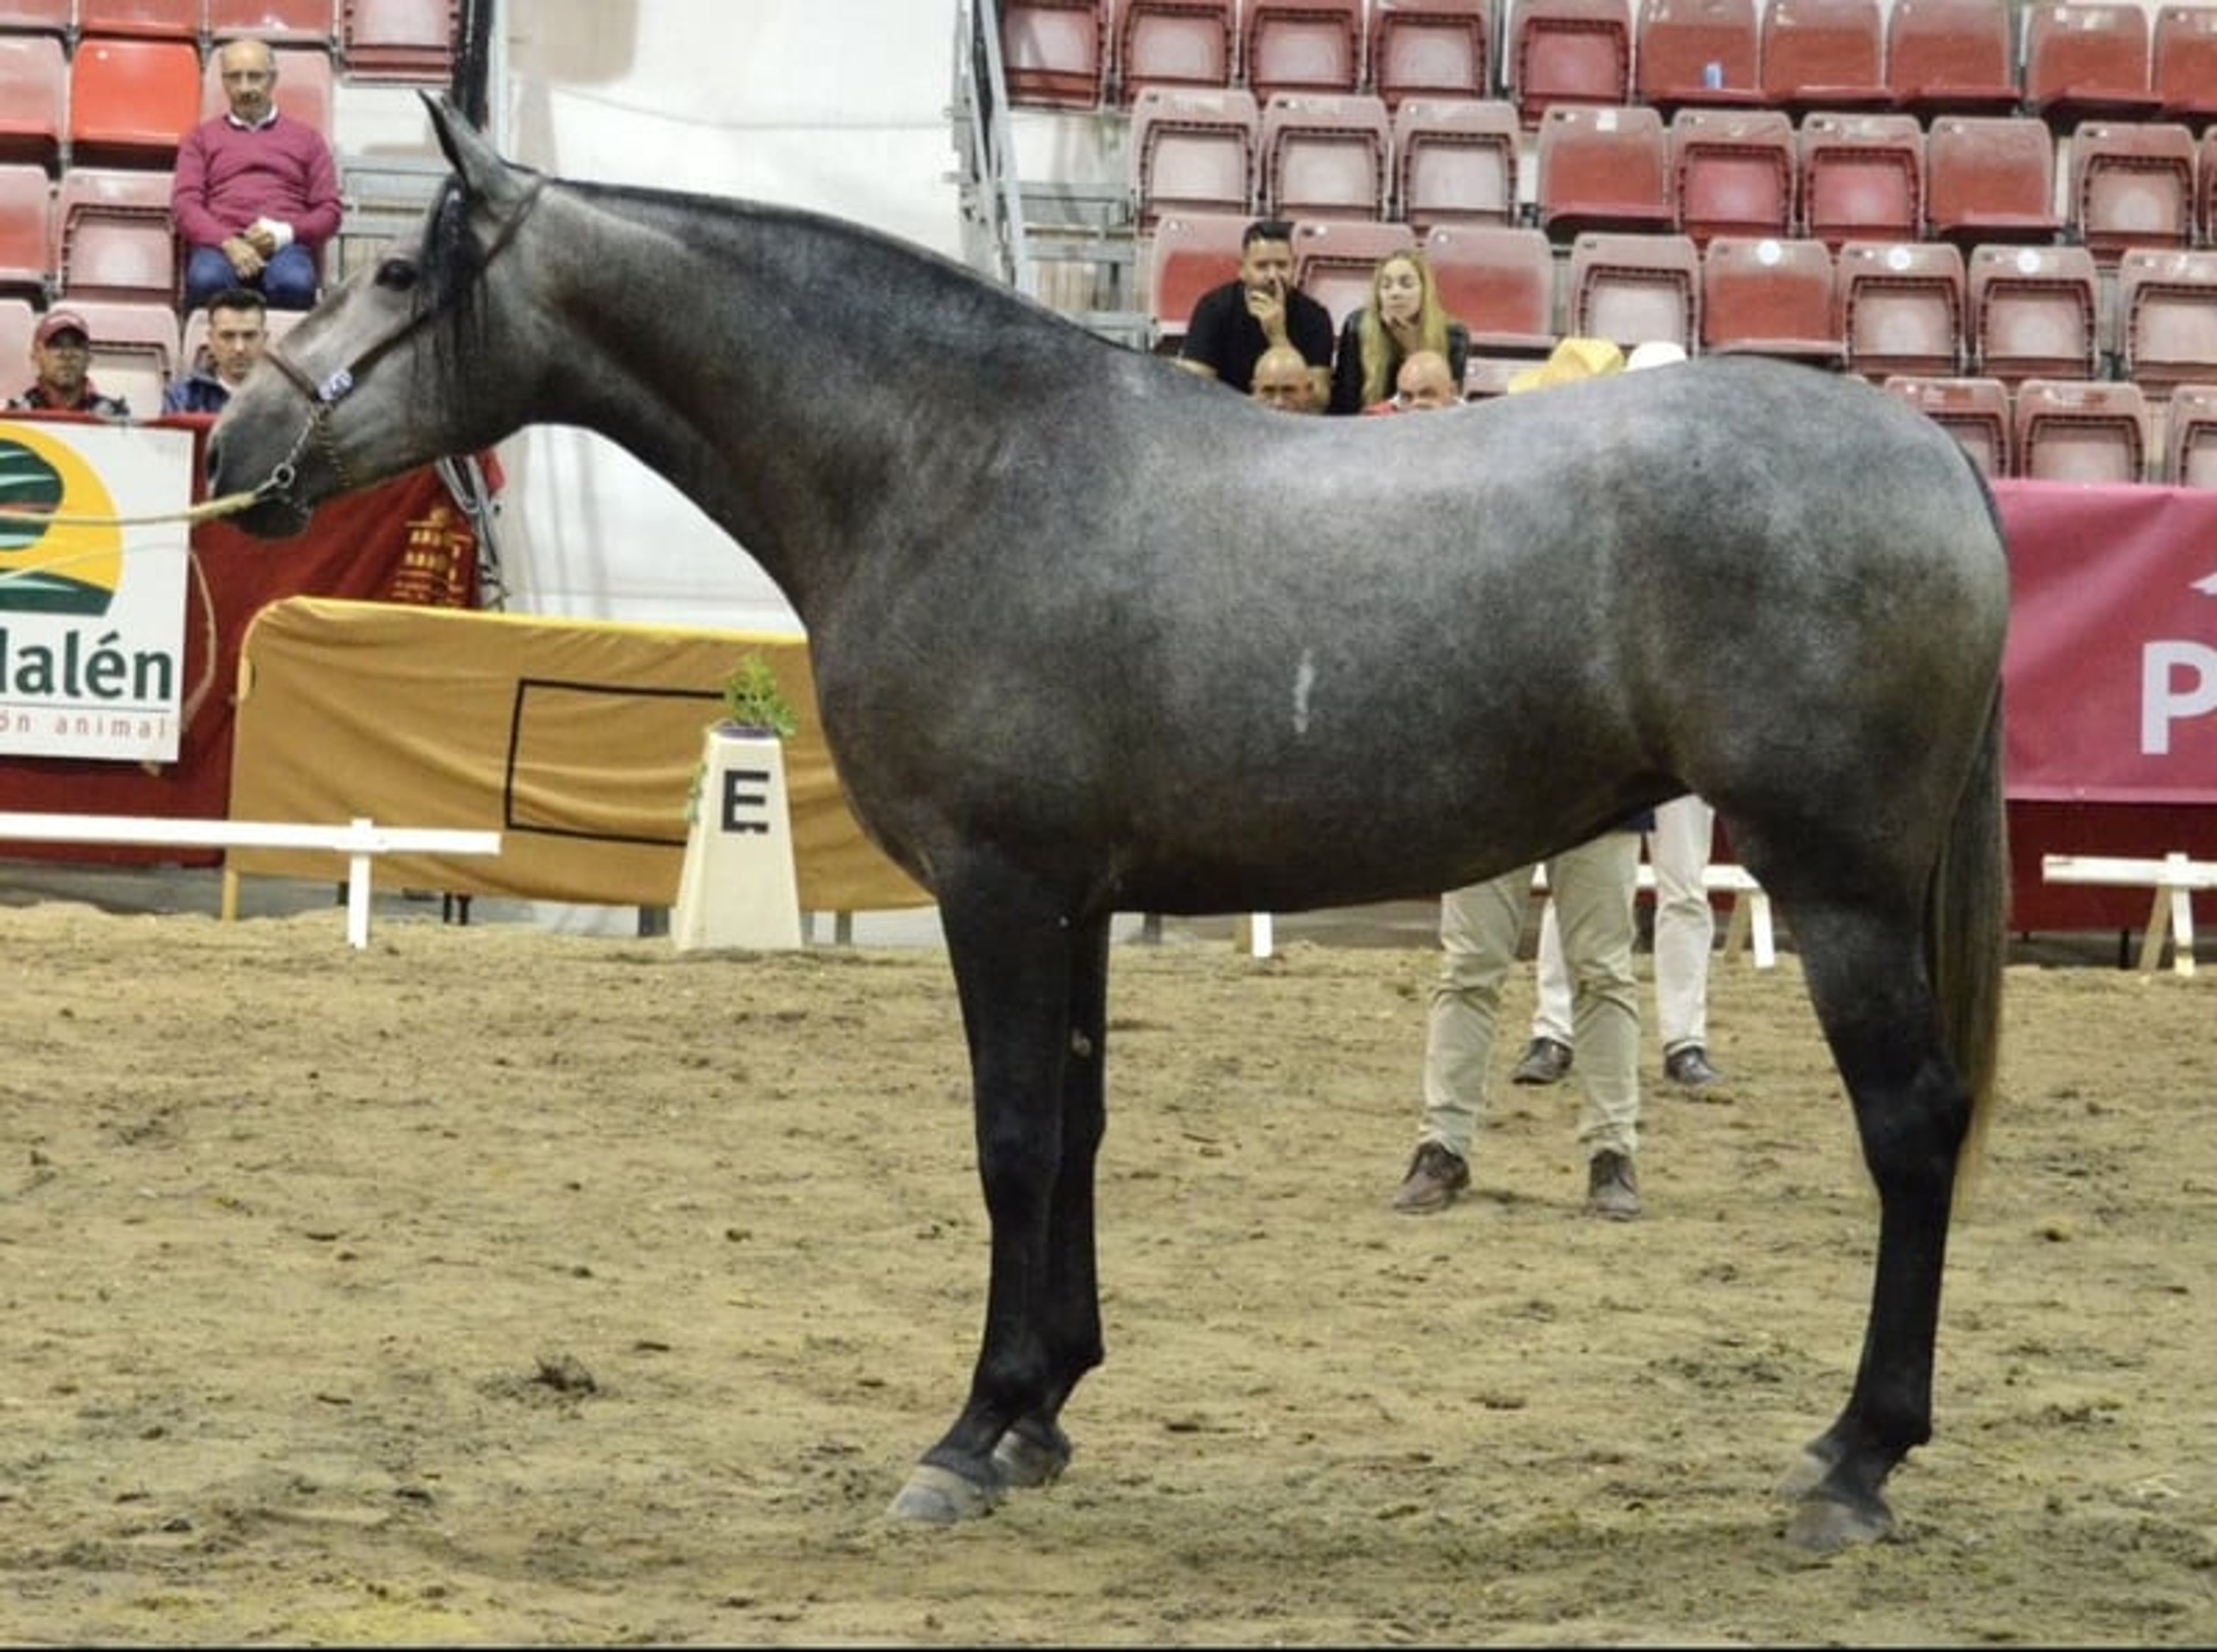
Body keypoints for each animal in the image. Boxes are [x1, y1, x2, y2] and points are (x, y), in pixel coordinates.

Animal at [207, 97, 2011, 1553]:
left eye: (392, 273)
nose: (233, 439)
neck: (951, 462)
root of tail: (1940, 463)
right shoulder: (1072, 903)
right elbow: (1073, 1132)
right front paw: (1044, 1412)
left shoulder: (997, 891)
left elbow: (1010, 1140)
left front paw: (965, 1434)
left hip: (1840, 887)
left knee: (1913, 1128)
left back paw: (1855, 1461)